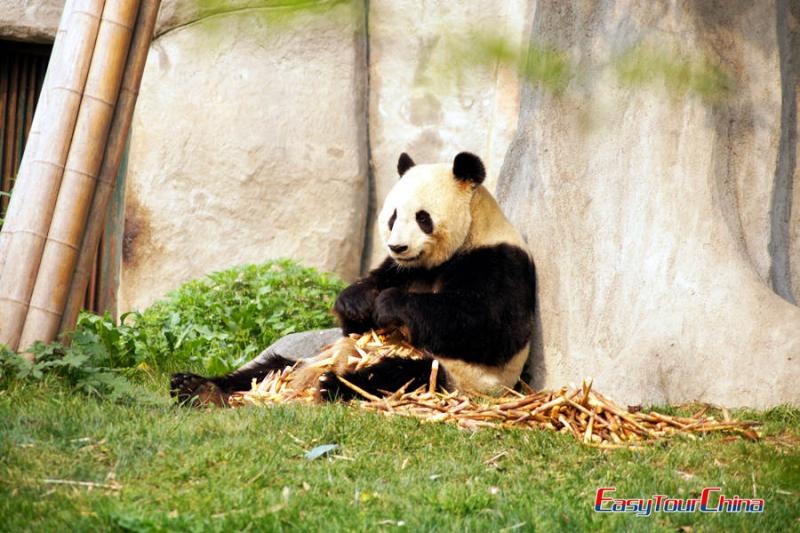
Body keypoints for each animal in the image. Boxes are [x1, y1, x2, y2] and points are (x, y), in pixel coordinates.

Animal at [174, 152, 536, 406]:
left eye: (423, 218)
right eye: (392, 217)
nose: (398, 246)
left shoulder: (499, 261)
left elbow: (486, 327)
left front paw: (390, 305)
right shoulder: (400, 268)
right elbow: (358, 318)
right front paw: (357, 302)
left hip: (454, 378)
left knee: (398, 375)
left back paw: (332, 385)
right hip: (310, 359)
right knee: (269, 368)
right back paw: (197, 388)